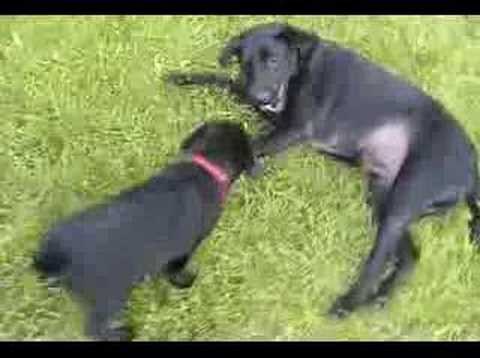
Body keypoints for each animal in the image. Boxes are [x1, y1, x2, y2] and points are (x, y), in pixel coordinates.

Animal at [31, 121, 256, 342]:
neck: (206, 166)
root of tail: (58, 254)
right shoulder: (186, 248)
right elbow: (176, 270)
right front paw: (187, 281)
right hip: (111, 294)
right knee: (94, 329)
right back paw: (124, 334)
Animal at [166, 23, 480, 318]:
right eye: (245, 63)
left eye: (273, 60)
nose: (261, 96)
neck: (301, 69)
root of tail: (472, 170)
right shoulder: (267, 110)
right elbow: (227, 82)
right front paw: (184, 76)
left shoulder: (294, 129)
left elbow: (248, 145)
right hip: (383, 195)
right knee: (410, 257)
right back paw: (379, 299)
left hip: (405, 196)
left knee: (377, 263)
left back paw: (347, 305)